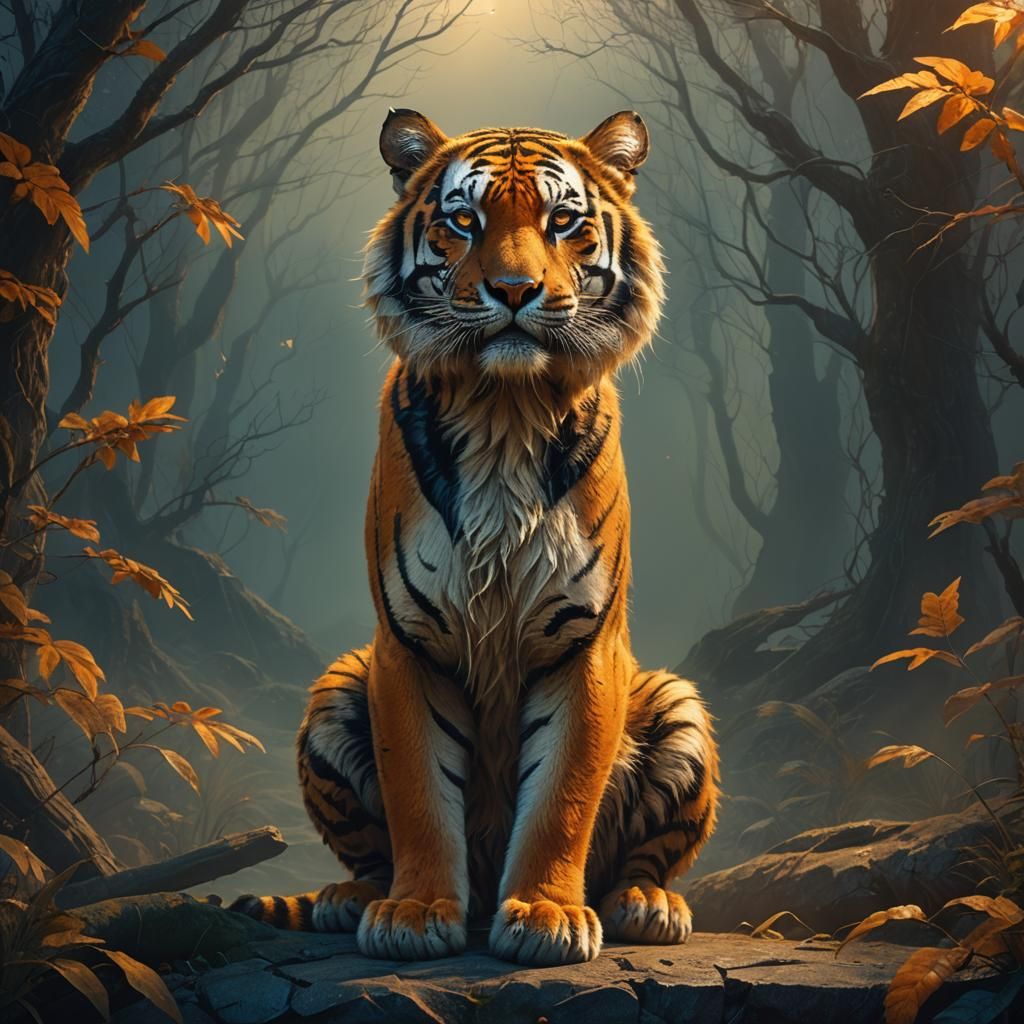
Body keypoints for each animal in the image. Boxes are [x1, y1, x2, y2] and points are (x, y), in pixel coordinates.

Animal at [231, 109, 719, 966]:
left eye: (564, 222)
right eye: (464, 221)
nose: (515, 291)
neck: (504, 411)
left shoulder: (582, 644)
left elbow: (562, 795)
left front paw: (547, 915)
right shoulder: (407, 644)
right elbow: (419, 794)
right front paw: (416, 912)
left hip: (676, 702)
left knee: (642, 860)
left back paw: (647, 905)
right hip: (334, 689)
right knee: (367, 851)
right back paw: (348, 899)